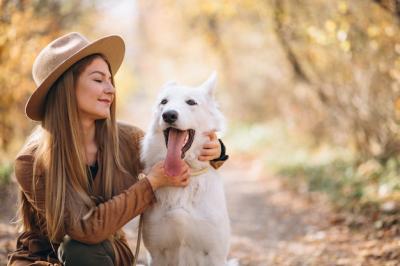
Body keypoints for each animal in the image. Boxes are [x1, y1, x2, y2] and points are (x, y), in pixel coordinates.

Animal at [141, 72, 234, 266]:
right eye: (164, 102)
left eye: (191, 102)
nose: (169, 115)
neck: (188, 172)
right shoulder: (157, 254)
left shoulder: (215, 255)